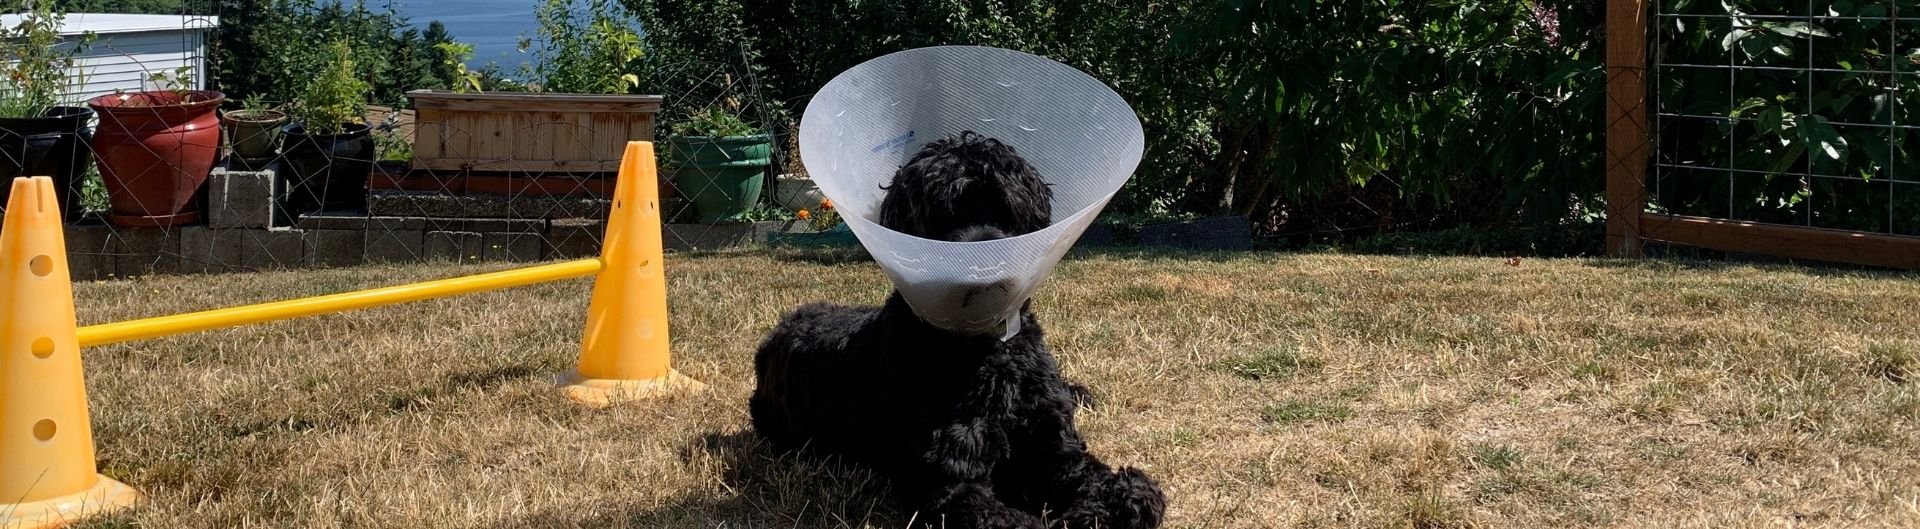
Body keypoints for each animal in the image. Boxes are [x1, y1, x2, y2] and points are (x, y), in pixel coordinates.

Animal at [748, 129, 1167, 529]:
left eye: (1005, 208)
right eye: (939, 218)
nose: (985, 271)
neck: (987, 352)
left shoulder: (1056, 450)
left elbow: (1123, 487)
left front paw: (1105, 503)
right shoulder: (949, 482)